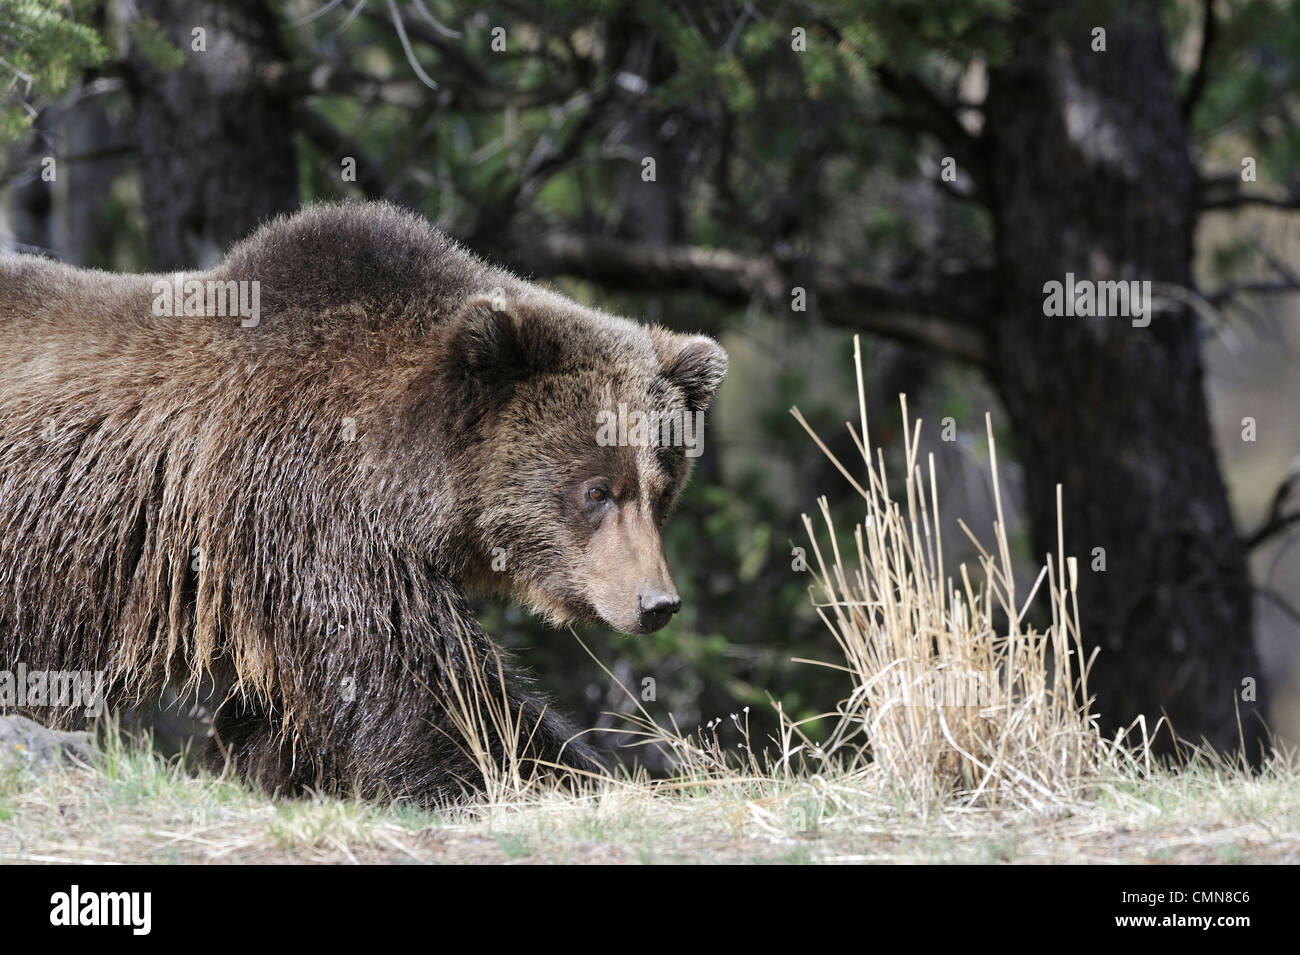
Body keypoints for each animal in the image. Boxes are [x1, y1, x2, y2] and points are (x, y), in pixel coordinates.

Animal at [0, 201, 727, 803]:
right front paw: (551, 773)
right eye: (596, 490)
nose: (656, 603)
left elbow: (287, 708)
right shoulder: (310, 505)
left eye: (662, 490)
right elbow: (410, 675)